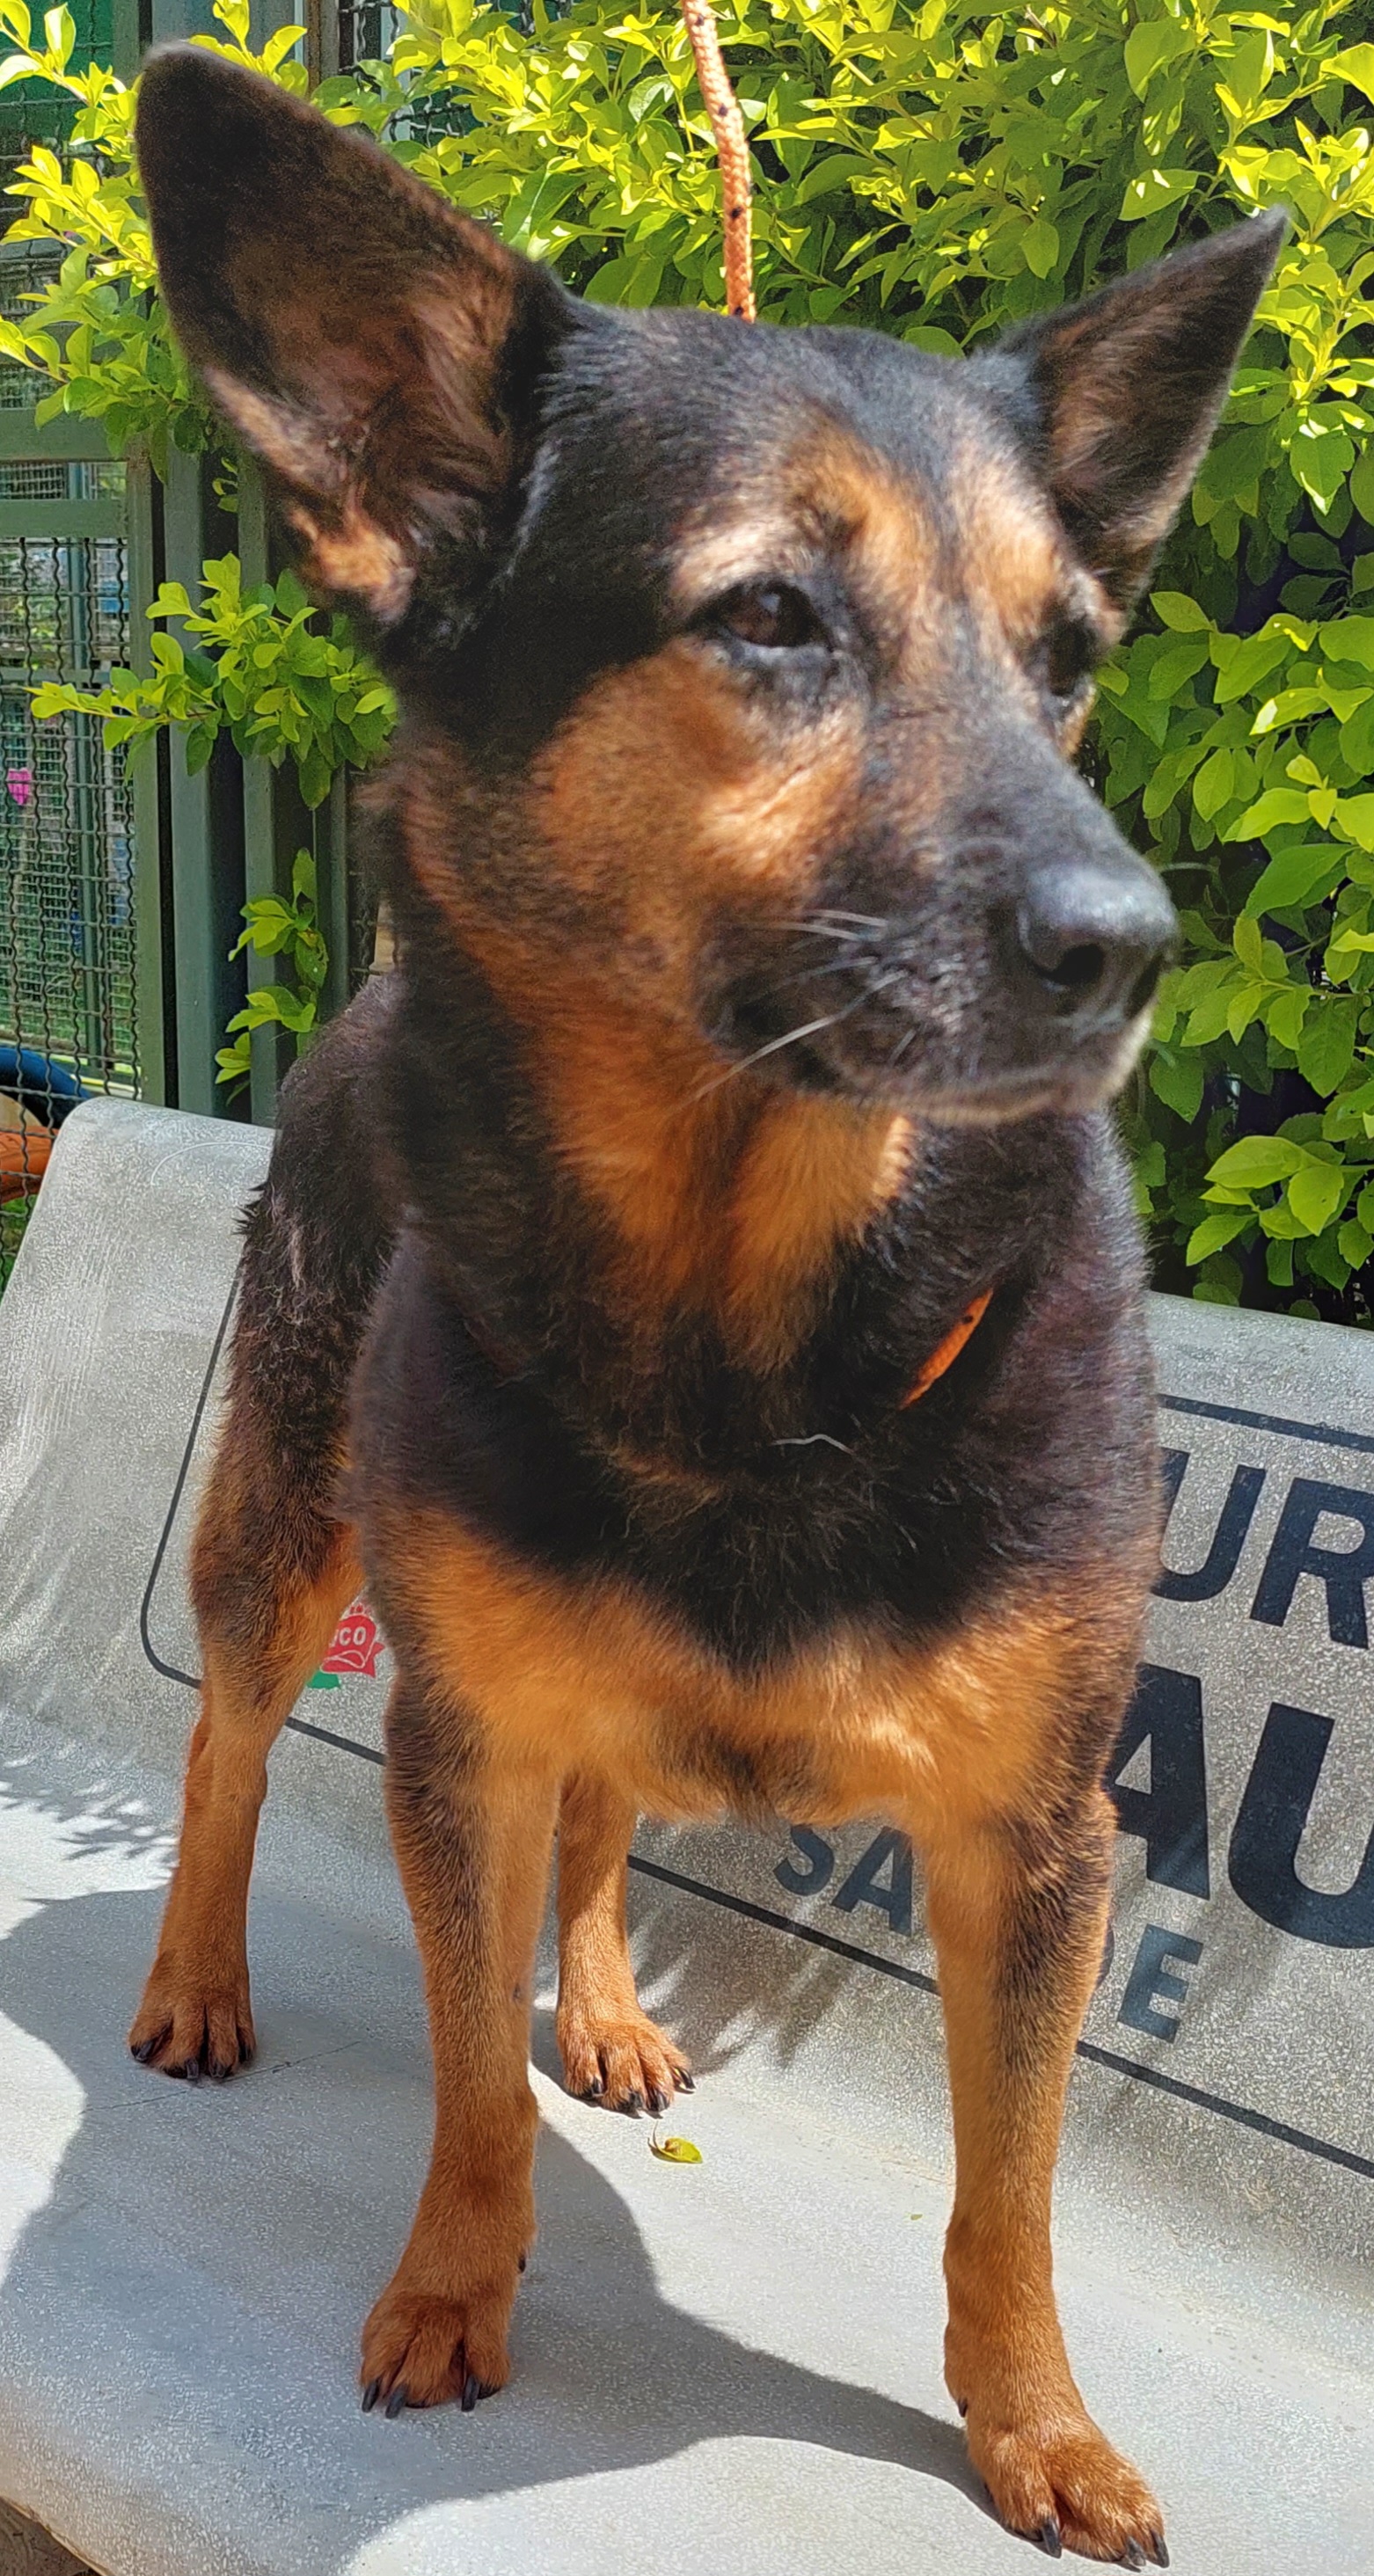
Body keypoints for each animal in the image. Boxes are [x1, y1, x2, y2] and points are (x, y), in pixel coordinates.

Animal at [125, 50, 1273, 2565]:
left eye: (1068, 658)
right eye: (767, 617)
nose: (1133, 947)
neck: (761, 1337)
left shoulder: (1033, 1837)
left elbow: (1009, 2194)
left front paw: (1032, 2426)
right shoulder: (456, 1730)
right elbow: (460, 2083)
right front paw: (452, 2293)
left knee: (600, 1828)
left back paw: (604, 2002)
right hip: (287, 1528)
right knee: (232, 1744)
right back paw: (194, 1975)